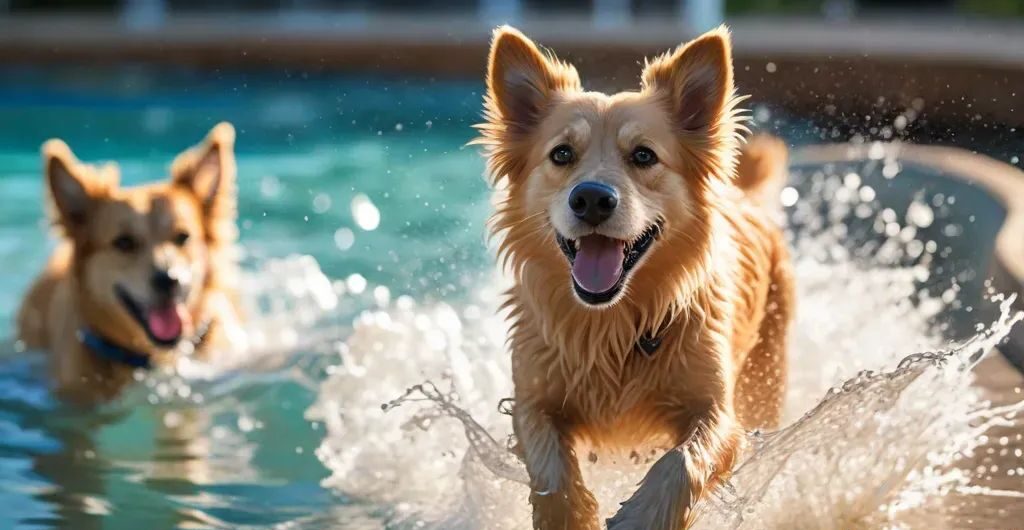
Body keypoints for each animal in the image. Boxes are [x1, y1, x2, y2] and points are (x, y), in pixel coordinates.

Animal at [475, 25, 794, 530]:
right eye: (561, 154)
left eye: (644, 155)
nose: (591, 198)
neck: (612, 322)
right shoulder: (531, 398)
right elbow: (548, 462)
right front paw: (570, 514)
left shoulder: (720, 413)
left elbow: (683, 460)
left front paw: (642, 516)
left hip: (767, 372)